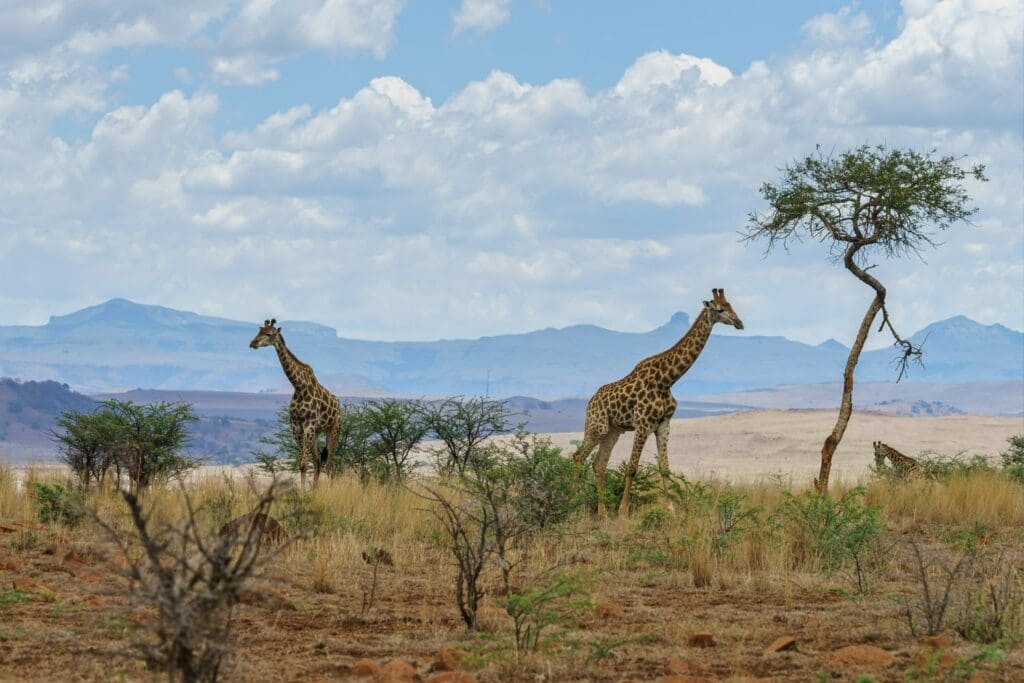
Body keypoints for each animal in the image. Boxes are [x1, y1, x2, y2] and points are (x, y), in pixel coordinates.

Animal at [249, 317, 342, 489]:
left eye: (269, 333)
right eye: (259, 330)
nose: (253, 343)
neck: (299, 387)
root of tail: (339, 406)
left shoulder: (308, 425)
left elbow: (304, 464)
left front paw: (302, 492)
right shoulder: (296, 426)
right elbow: (302, 464)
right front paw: (304, 491)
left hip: (334, 429)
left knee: (331, 464)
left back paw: (330, 490)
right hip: (317, 433)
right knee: (318, 461)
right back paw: (315, 490)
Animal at [569, 288, 745, 518]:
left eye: (731, 305)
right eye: (720, 309)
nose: (739, 322)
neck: (667, 380)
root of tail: (591, 401)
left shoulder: (663, 424)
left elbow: (665, 469)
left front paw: (671, 510)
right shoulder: (643, 424)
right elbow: (632, 468)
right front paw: (623, 512)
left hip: (613, 431)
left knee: (599, 464)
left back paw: (603, 513)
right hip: (596, 426)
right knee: (578, 457)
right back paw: (573, 506)